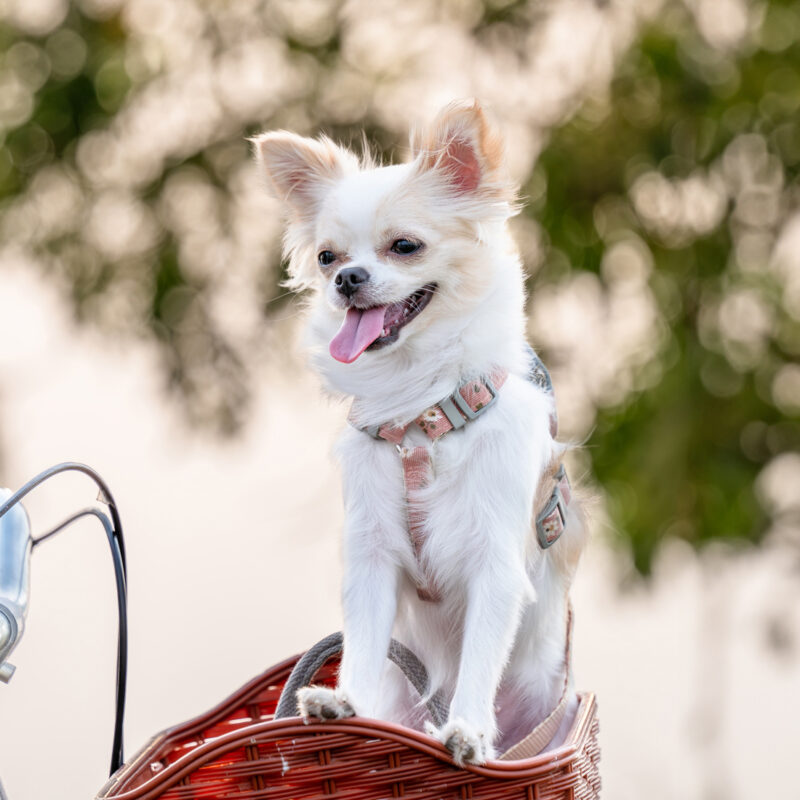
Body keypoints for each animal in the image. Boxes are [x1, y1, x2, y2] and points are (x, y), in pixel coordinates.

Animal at [256, 101, 588, 768]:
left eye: (404, 246)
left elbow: (480, 658)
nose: (347, 278)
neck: (421, 420)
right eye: (328, 257)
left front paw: (468, 731)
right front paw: (345, 702)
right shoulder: (373, 557)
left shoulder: (494, 564)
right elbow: (362, 642)